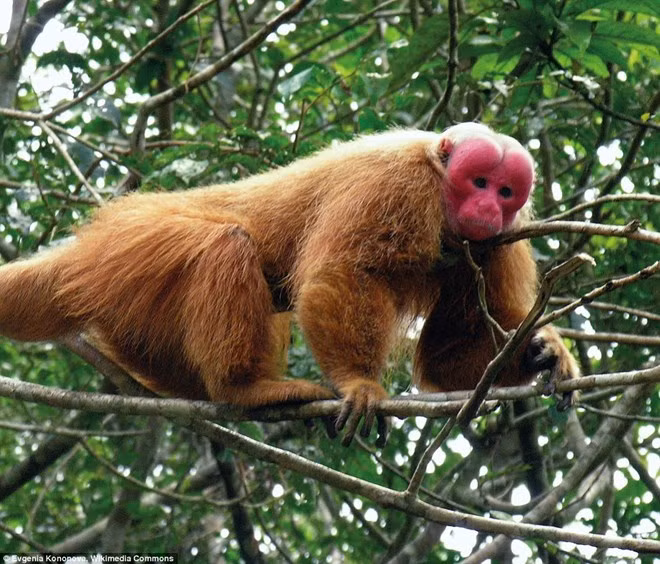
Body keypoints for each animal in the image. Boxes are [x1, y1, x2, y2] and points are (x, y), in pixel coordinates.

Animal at [0, 123, 579, 446]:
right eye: (478, 182)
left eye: (505, 191)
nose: (488, 208)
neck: (441, 194)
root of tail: (93, 240)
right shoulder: (394, 185)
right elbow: (341, 274)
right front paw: (359, 383)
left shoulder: (495, 244)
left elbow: (445, 355)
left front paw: (540, 352)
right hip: (137, 242)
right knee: (227, 244)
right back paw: (244, 388)